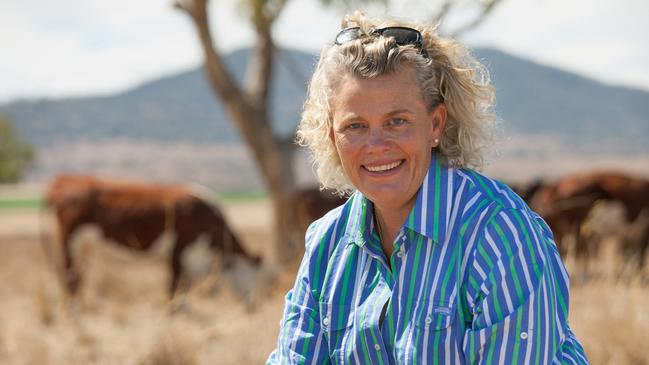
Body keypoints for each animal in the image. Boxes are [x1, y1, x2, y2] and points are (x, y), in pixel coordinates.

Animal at [43, 173, 260, 296]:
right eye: (259, 279)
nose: (254, 305)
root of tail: (65, 179)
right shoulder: (178, 253)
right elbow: (175, 291)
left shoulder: (192, 262)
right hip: (68, 243)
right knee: (70, 279)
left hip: (83, 247)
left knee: (77, 279)